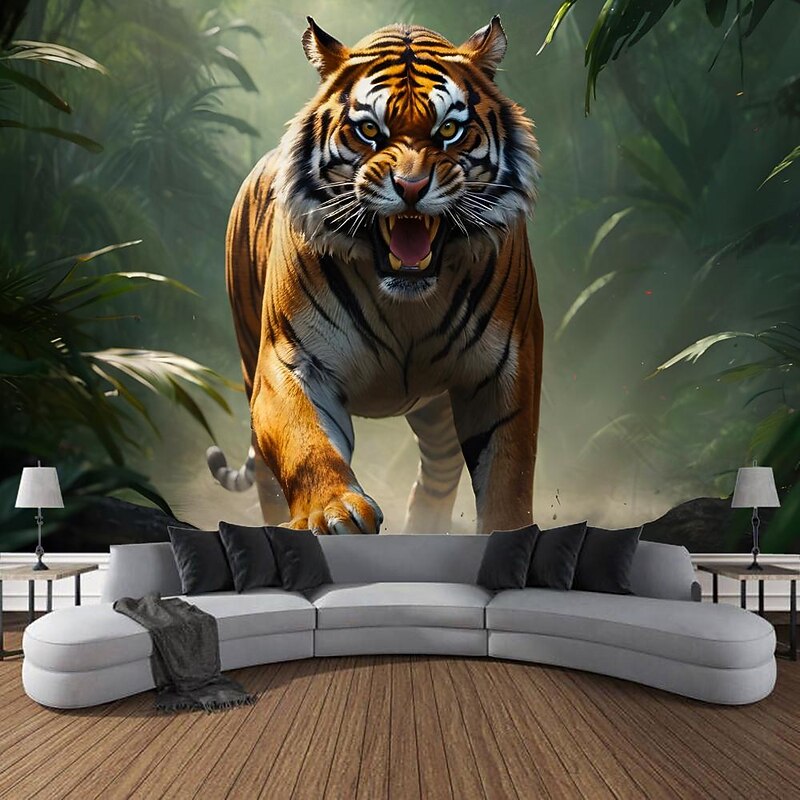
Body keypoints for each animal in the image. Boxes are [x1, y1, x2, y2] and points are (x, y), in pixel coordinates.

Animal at [206, 16, 544, 535]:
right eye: (369, 130)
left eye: (449, 129)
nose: (411, 187)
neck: (405, 300)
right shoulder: (289, 362)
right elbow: (306, 443)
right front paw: (333, 511)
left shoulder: (507, 364)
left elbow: (509, 472)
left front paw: (507, 530)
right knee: (266, 476)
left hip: (436, 407)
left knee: (439, 472)